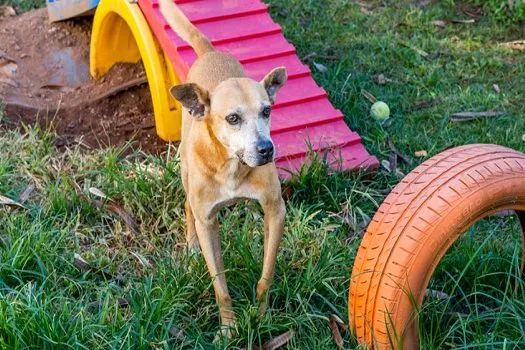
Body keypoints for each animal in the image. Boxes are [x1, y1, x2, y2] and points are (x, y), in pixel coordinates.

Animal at [159, 0, 286, 340]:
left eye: (266, 111)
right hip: (186, 175)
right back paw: (191, 245)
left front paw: (262, 316)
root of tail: (209, 53)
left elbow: (266, 275)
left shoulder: (275, 211)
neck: (233, 166)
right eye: (233, 118)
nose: (266, 149)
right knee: (187, 206)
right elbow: (220, 286)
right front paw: (228, 328)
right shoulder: (208, 222)